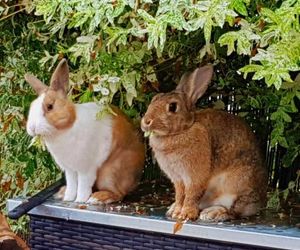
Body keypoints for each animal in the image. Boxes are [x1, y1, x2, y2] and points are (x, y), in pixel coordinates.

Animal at [25, 58, 145, 203]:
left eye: (50, 106)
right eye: (32, 106)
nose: (32, 127)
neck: (65, 129)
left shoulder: (85, 169)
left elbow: (82, 185)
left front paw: (80, 200)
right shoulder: (70, 170)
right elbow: (72, 184)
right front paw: (68, 198)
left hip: (110, 173)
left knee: (118, 193)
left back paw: (97, 198)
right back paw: (63, 192)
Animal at [141, 64, 268, 221]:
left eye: (172, 107)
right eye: (154, 99)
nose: (146, 122)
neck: (184, 129)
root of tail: (260, 204)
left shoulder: (194, 176)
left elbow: (191, 194)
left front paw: (185, 214)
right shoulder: (178, 179)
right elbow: (180, 195)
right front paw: (176, 211)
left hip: (236, 187)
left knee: (234, 211)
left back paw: (213, 213)